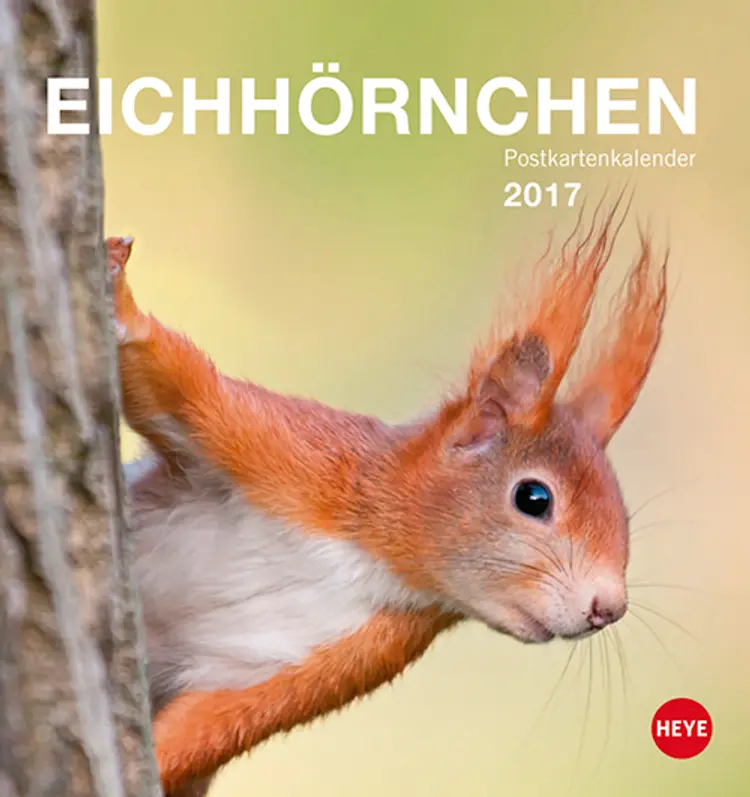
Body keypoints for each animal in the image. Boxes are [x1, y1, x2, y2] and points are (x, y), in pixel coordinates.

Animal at [107, 198, 667, 797]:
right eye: (534, 497)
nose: (608, 607)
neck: (371, 556)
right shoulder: (286, 453)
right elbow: (178, 388)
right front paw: (119, 295)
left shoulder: (332, 659)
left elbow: (206, 729)